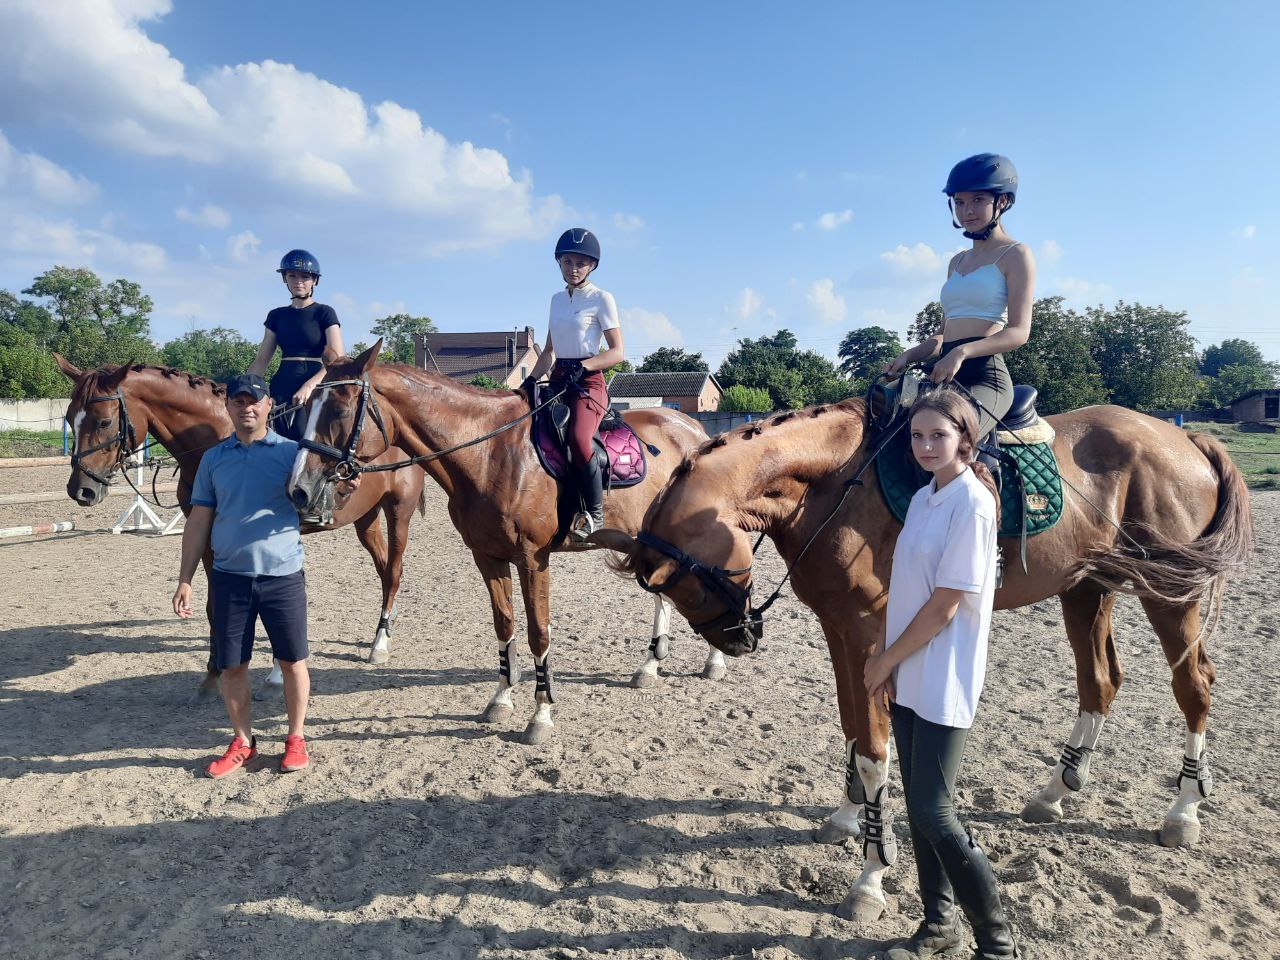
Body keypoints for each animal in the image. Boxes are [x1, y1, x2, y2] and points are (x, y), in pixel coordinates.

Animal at [57, 358, 427, 696]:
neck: (219, 439)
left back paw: (379, 643)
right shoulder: (208, 536)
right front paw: (214, 672)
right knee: (383, 569)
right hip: (366, 519)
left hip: (399, 512)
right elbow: (213, 605)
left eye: (104, 421)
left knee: (394, 569)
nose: (80, 491)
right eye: (69, 420)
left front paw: (272, 670)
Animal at [290, 343, 727, 747]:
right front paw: (501, 699)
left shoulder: (533, 559)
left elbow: (539, 633)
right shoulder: (488, 557)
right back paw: (650, 665)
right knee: (663, 593)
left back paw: (715, 660)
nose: (298, 489)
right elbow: (505, 624)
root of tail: (692, 428)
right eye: (308, 408)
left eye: (339, 410)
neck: (488, 454)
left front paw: (541, 716)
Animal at [599, 399, 1249, 926]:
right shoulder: (842, 630)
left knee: (1194, 686)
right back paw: (1054, 792)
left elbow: (873, 748)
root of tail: (1185, 438)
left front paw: (869, 877)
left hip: (1172, 595)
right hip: (1087, 588)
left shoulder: (869, 632)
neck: (834, 485)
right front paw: (848, 817)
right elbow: (855, 729)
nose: (738, 641)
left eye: (687, 588)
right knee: (1101, 683)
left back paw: (1184, 812)